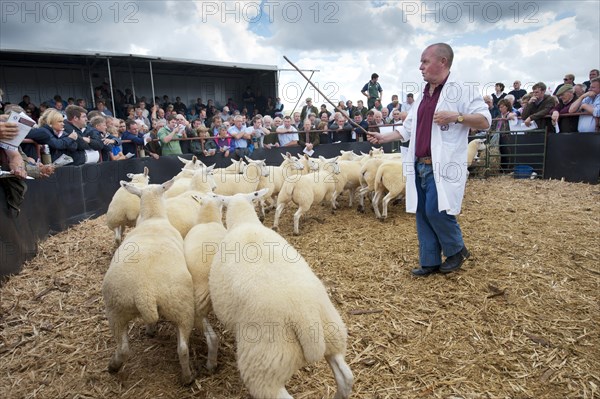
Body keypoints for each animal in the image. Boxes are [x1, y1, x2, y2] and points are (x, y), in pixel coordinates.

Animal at [102, 180, 196, 386]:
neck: (153, 219)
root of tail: (144, 292)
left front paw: (150, 330)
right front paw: (151, 330)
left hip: (116, 308)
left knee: (124, 348)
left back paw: (113, 366)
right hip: (181, 308)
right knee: (183, 349)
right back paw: (187, 378)